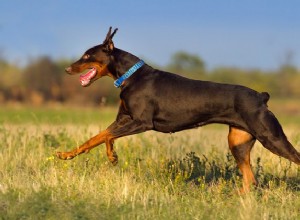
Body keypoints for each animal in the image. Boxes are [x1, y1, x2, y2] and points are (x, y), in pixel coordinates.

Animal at [56, 27, 300, 192]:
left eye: (87, 55)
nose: (67, 69)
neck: (131, 76)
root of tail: (261, 97)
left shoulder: (141, 122)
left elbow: (105, 136)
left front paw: (111, 156)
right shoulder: (124, 119)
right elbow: (98, 137)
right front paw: (69, 154)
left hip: (272, 138)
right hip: (238, 143)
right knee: (251, 181)